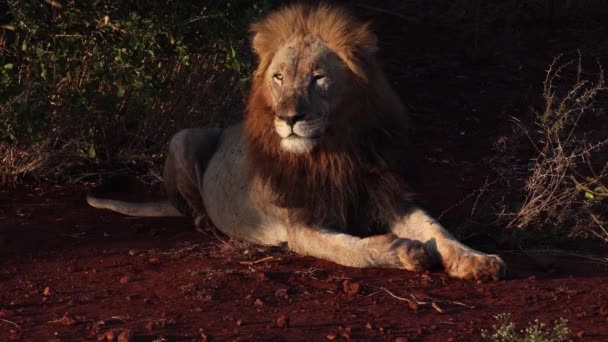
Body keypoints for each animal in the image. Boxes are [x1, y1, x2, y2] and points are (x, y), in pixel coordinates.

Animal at [88, 2, 506, 280]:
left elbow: (437, 228)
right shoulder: (300, 226)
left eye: (318, 77)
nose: (289, 118)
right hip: (183, 137)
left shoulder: (387, 195)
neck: (335, 153)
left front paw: (478, 259)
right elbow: (352, 249)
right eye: (278, 78)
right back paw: (208, 222)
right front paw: (401, 249)